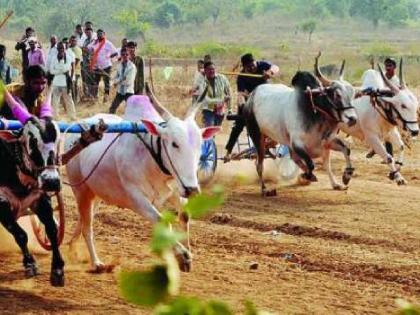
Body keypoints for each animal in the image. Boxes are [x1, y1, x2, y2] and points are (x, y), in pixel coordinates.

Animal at [65, 92, 220, 272]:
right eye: (174, 143)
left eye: (200, 145)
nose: (192, 190)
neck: (153, 160)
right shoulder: (137, 200)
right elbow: (162, 222)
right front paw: (182, 256)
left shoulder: (176, 191)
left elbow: (184, 217)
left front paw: (185, 254)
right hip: (80, 190)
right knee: (87, 227)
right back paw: (96, 262)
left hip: (95, 193)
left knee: (83, 219)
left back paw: (72, 247)